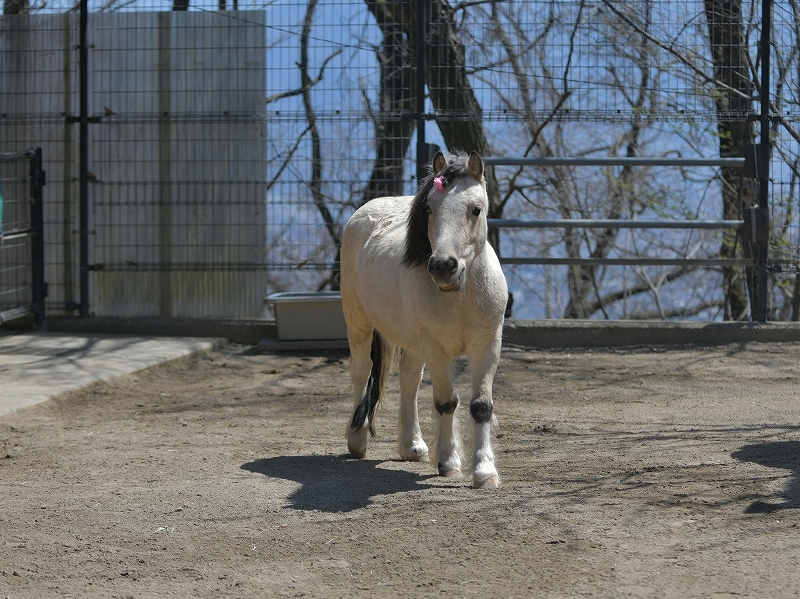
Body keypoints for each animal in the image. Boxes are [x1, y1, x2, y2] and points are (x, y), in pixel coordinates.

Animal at [340, 149, 510, 488]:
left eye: (476, 209)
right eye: (429, 208)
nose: (443, 266)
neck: (459, 296)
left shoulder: (488, 345)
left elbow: (481, 406)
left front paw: (485, 472)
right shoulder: (436, 349)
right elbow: (446, 401)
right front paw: (449, 462)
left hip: (412, 340)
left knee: (409, 378)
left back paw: (412, 445)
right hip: (358, 321)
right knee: (362, 371)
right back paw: (357, 439)